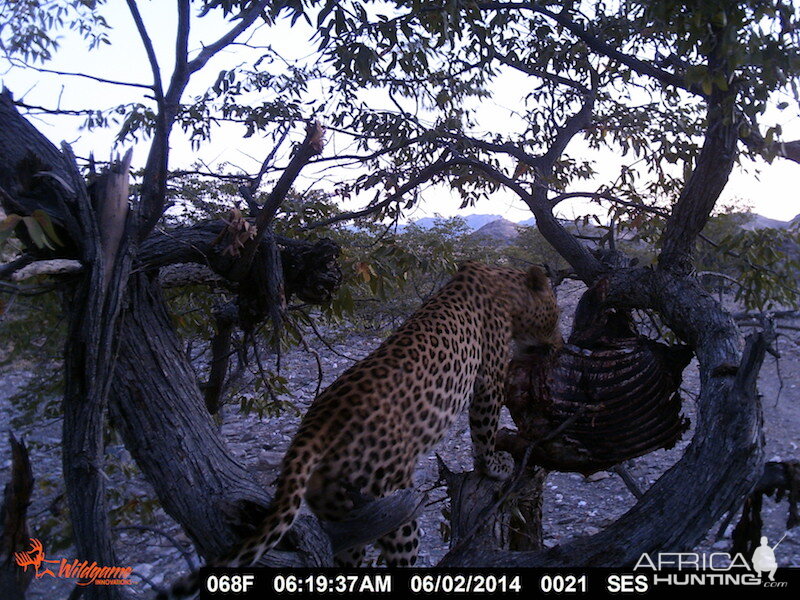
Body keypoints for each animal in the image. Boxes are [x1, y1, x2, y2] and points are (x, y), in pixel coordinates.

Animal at [161, 262, 564, 600]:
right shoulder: (489, 379)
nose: (560, 345)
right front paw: (494, 466)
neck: (505, 285)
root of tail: (315, 426)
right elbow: (483, 428)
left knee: (349, 560)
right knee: (399, 556)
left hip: (341, 508)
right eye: (557, 314)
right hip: (390, 501)